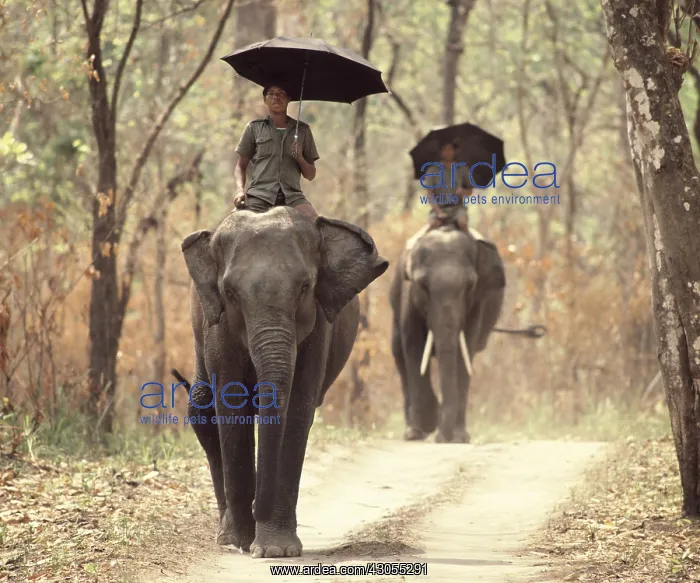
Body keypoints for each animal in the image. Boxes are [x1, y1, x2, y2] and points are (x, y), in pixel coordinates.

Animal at [174, 207, 389, 559]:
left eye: (304, 287)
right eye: (230, 293)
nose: (257, 506)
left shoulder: (319, 326)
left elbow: (298, 410)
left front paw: (275, 549)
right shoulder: (217, 327)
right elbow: (232, 406)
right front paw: (242, 543)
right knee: (202, 408)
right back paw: (227, 535)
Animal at [389, 225, 542, 444]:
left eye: (469, 285)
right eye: (422, 285)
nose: (442, 437)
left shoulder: (477, 303)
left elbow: (464, 353)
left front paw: (458, 438)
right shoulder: (408, 296)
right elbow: (414, 348)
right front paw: (430, 423)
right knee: (399, 355)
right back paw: (413, 433)